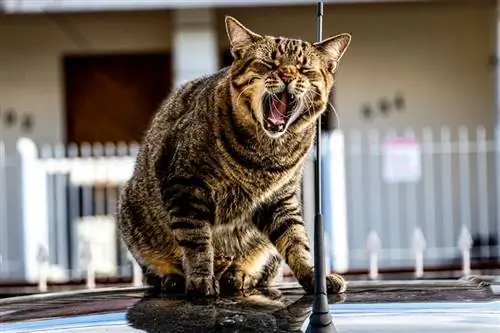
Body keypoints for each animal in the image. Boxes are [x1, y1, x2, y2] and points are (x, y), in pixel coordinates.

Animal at [117, 14, 352, 298]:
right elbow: (196, 241)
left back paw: (238, 275)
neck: (265, 153)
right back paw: (174, 278)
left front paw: (314, 276)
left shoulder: (281, 199)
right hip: (131, 213)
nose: (286, 74)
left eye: (303, 68)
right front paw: (200, 279)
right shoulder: (186, 187)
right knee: (155, 271)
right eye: (269, 63)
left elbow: (297, 240)